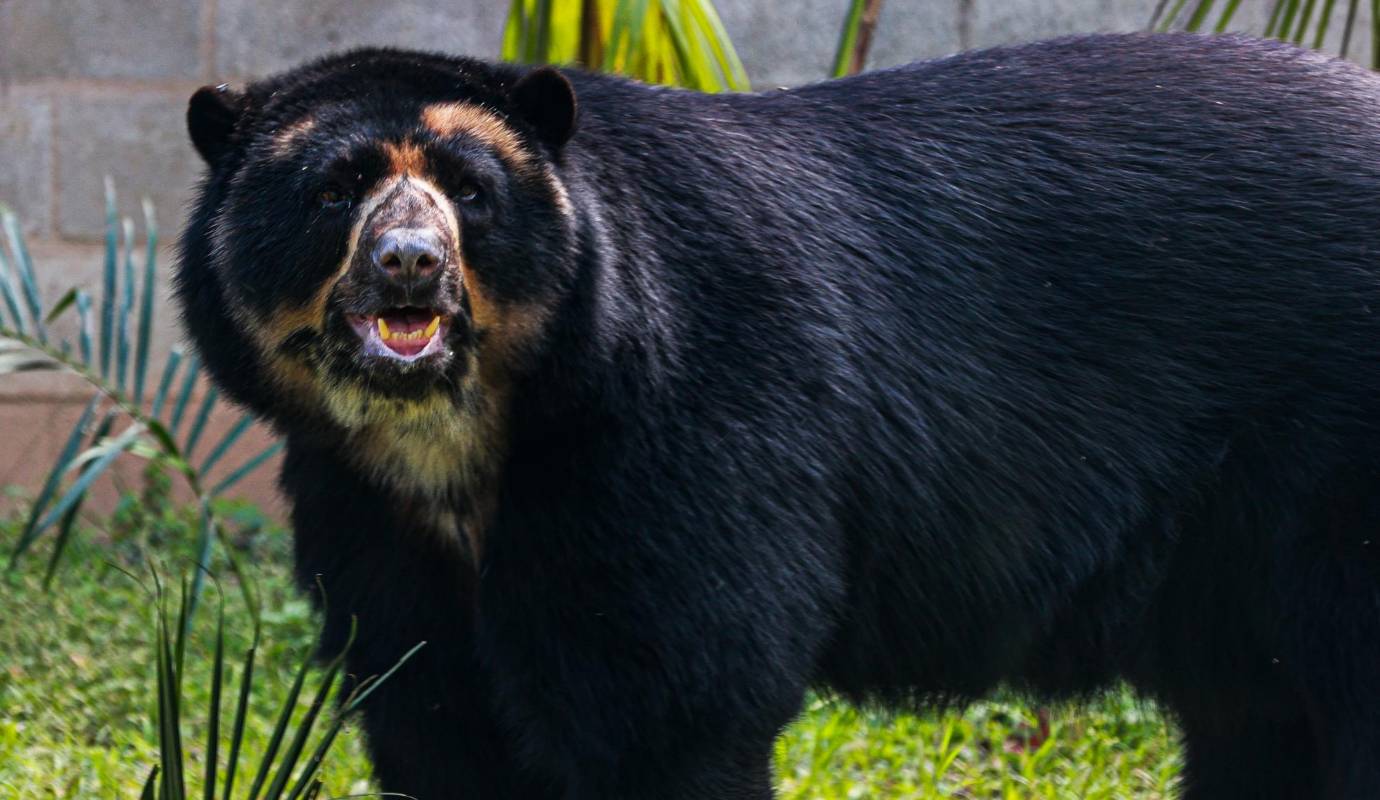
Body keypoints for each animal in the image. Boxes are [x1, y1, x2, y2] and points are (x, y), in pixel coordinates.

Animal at [176, 32, 1380, 799]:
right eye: (337, 188)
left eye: (471, 190)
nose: (410, 266)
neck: (466, 435)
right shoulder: (365, 506)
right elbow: (432, 710)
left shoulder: (685, 431)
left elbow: (673, 698)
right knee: (1257, 716)